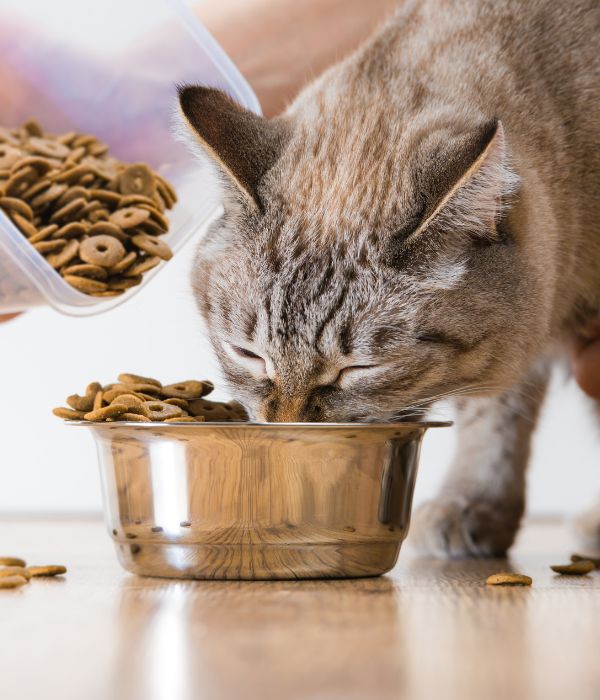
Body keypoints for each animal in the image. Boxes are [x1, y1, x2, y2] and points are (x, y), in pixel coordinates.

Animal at [178, 0, 600, 556]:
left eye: (358, 369)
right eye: (249, 355)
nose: (286, 426)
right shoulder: (504, 360)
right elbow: (492, 418)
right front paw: (473, 504)